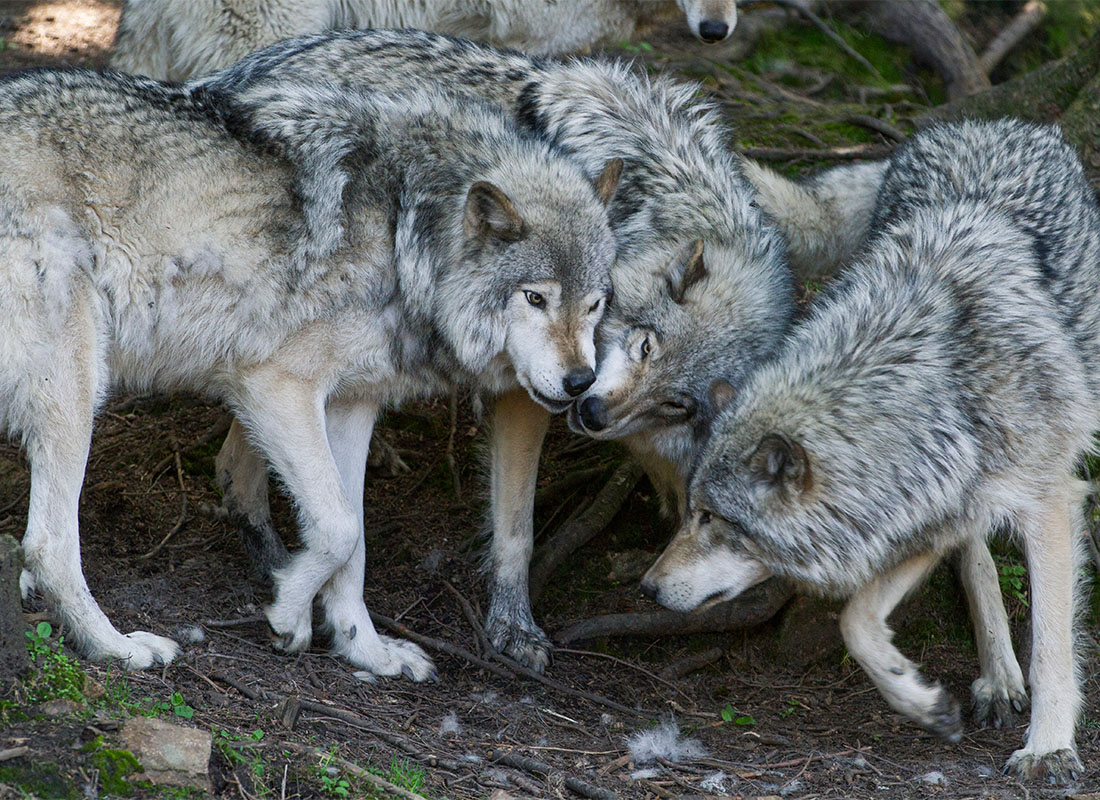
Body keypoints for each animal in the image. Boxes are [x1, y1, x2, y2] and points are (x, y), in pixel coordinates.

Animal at [2, 66, 622, 677]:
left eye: (594, 304)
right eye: (536, 298)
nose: (580, 382)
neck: (405, 230)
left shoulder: (352, 404)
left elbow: (355, 543)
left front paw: (366, 649)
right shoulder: (274, 386)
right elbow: (339, 527)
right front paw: (287, 613)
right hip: (75, 389)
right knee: (48, 543)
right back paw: (118, 647)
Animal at [194, 28, 794, 671]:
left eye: (677, 404)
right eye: (644, 345)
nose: (589, 407)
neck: (650, 199)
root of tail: (230, 77)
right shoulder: (526, 396)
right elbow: (517, 529)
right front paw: (513, 625)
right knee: (242, 462)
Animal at [642, 119, 1098, 783]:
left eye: (712, 518)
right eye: (690, 512)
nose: (647, 589)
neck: (940, 388)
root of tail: (975, 124)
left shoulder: (1049, 502)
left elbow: (1052, 648)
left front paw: (1049, 748)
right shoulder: (919, 511)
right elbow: (855, 621)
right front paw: (921, 701)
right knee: (975, 559)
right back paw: (994, 676)